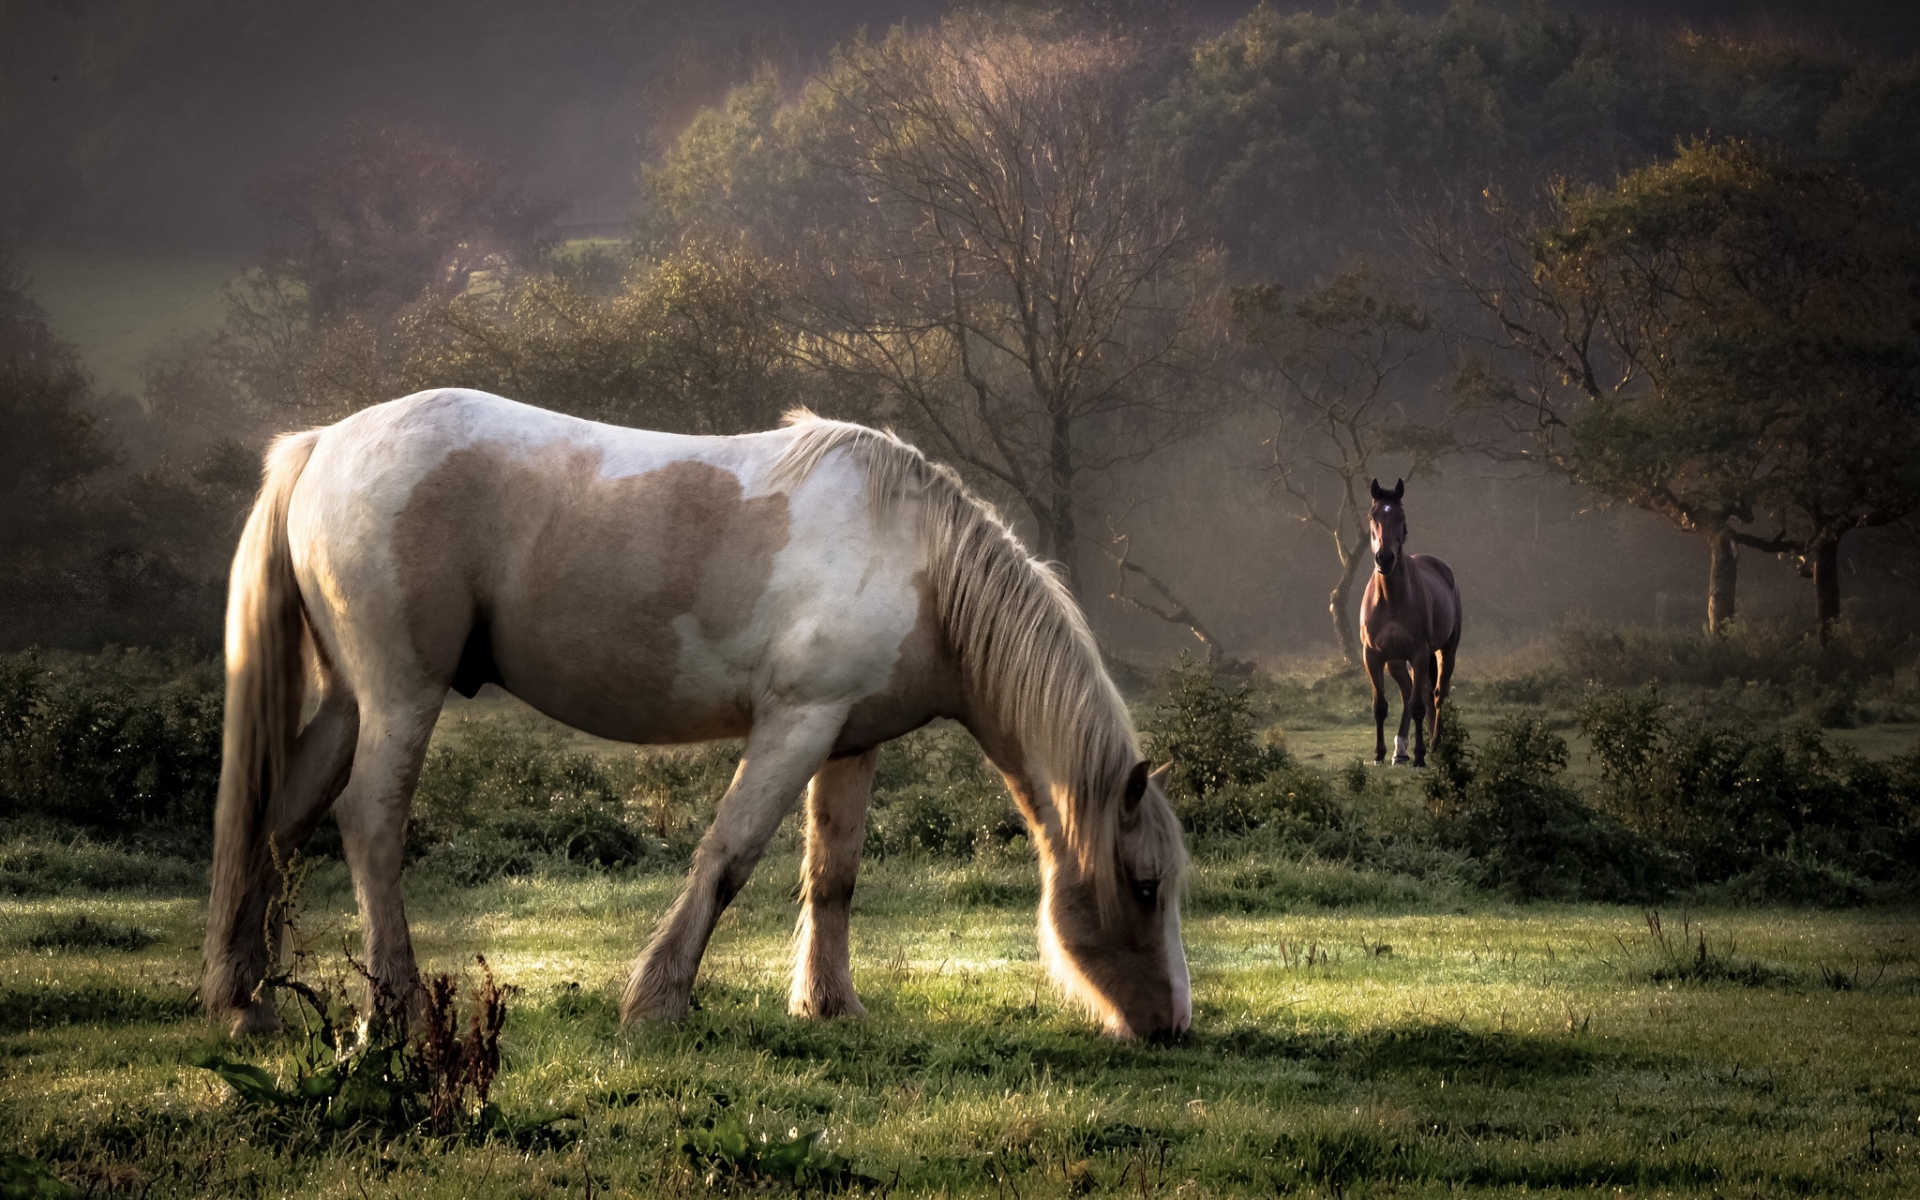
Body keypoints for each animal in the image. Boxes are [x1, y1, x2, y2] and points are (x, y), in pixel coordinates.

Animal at [201, 389, 1190, 1040]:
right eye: (1144, 886)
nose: (1172, 1025)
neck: (918, 564)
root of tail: (323, 444)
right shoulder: (795, 725)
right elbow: (728, 858)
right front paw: (658, 1003)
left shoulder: (850, 741)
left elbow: (833, 876)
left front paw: (831, 1006)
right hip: (402, 694)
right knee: (369, 826)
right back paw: (394, 1012)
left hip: (349, 702)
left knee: (280, 821)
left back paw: (245, 1000)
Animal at [1359, 479, 1461, 769]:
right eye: (1373, 516)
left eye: (1401, 517)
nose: (1385, 558)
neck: (1391, 599)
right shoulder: (1373, 656)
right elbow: (1380, 706)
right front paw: (1379, 754)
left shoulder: (1418, 653)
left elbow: (1418, 705)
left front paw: (1420, 756)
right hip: (1395, 661)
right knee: (1407, 693)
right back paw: (1400, 750)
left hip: (1445, 652)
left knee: (1436, 694)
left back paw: (1434, 744)